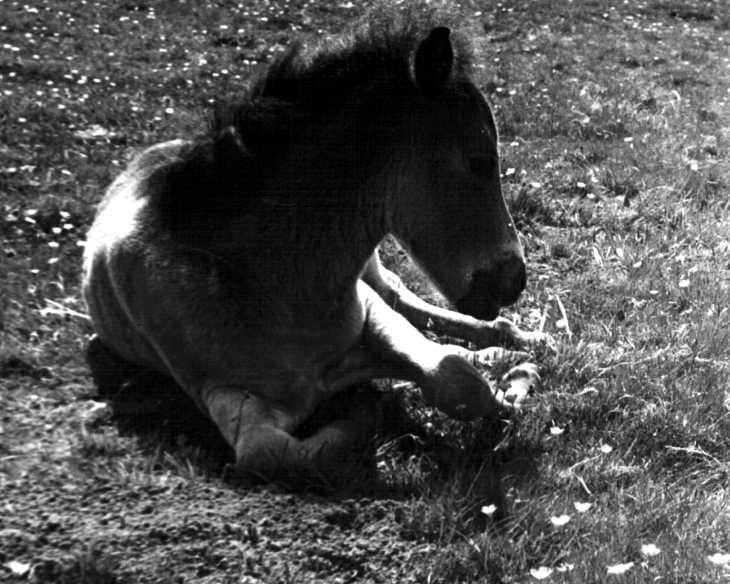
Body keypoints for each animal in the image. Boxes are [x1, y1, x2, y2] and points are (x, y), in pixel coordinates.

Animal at [82, 5, 542, 481]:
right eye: (480, 161)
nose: (514, 279)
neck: (272, 287)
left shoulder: (370, 310)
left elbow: (454, 377)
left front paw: (516, 381)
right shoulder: (223, 392)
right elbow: (269, 452)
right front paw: (367, 412)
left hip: (373, 270)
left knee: (406, 299)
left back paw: (513, 339)